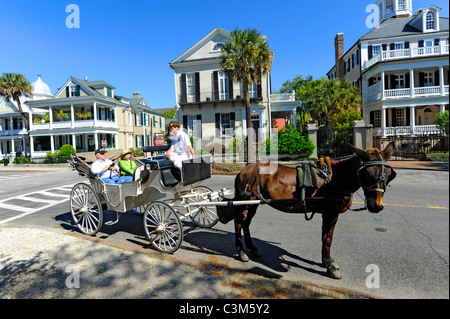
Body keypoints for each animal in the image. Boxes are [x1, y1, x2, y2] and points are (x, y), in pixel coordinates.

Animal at [222, 143, 398, 280]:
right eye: (367, 173)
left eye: (390, 175)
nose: (376, 205)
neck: (335, 178)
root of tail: (245, 169)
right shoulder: (330, 213)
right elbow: (327, 239)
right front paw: (329, 267)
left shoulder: (331, 215)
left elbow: (327, 237)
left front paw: (329, 261)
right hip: (247, 202)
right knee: (239, 222)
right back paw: (241, 251)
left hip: (254, 203)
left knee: (246, 223)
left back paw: (252, 248)